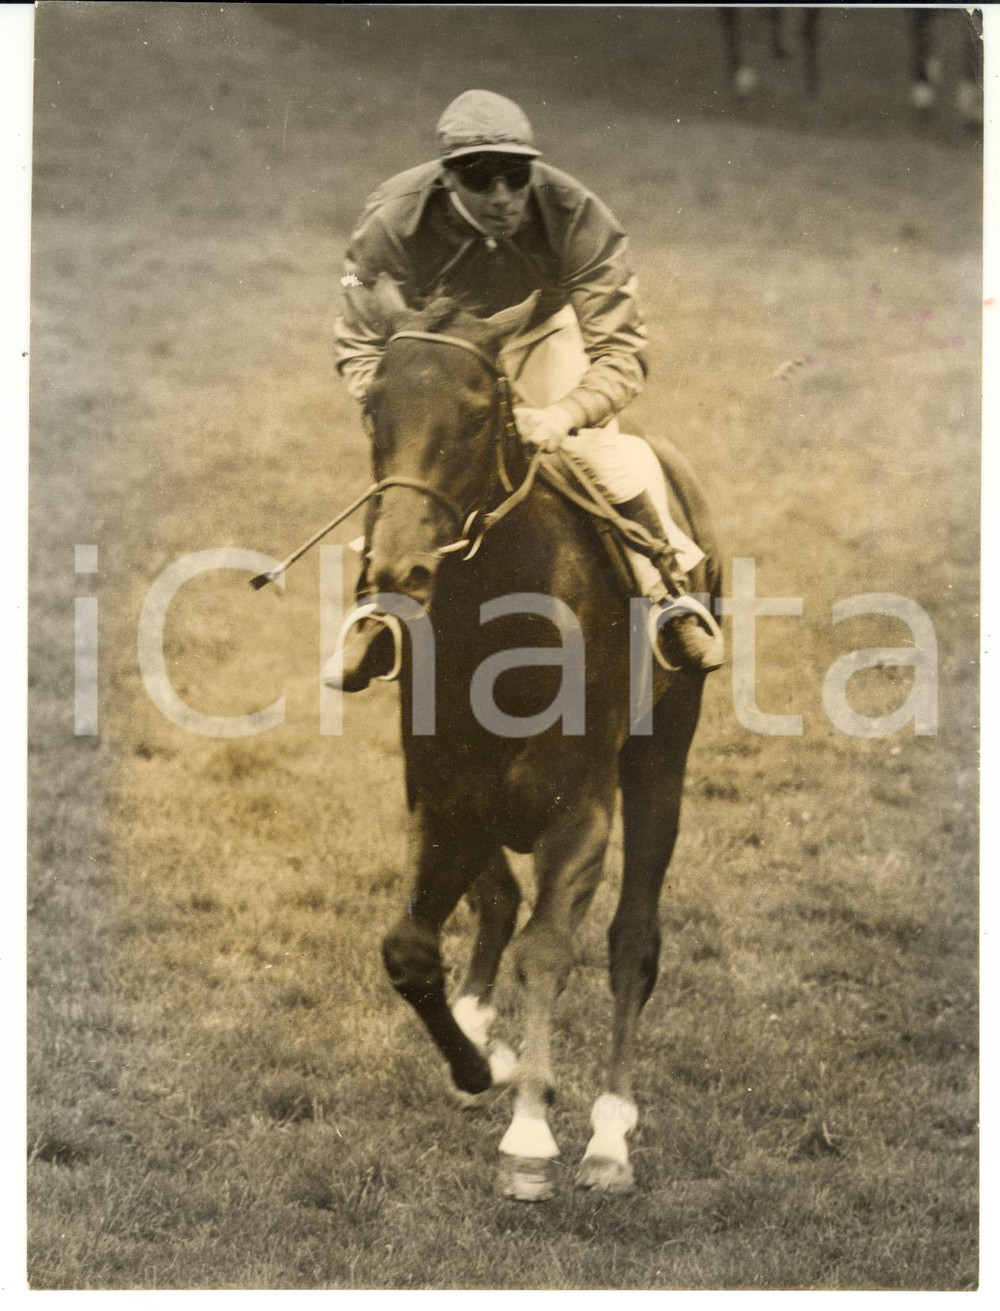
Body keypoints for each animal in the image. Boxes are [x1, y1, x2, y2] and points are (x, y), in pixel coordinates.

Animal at [360, 295, 721, 1201]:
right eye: (373, 407)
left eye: (476, 414)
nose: (399, 568)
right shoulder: (443, 794)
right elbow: (410, 947)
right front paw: (476, 1064)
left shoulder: (580, 809)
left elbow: (550, 948)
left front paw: (529, 1132)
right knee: (497, 898)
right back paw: (481, 1028)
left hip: (663, 755)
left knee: (634, 940)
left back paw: (611, 1130)